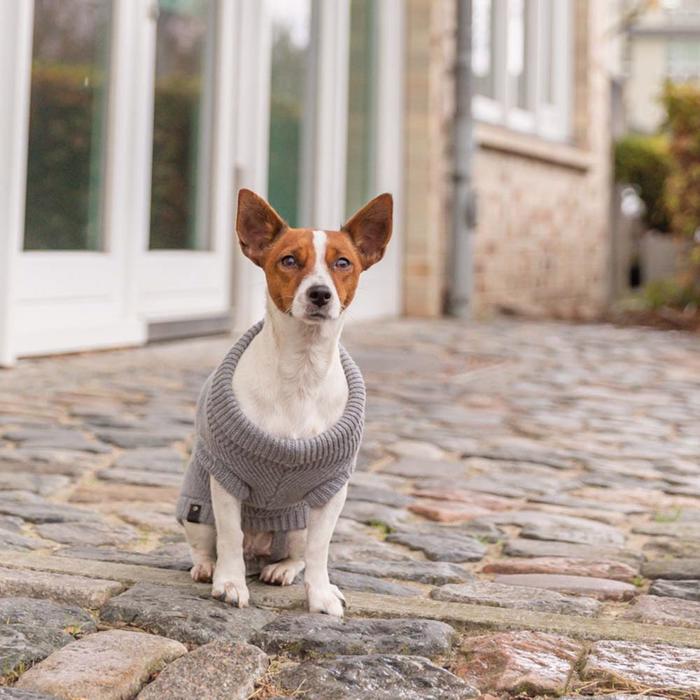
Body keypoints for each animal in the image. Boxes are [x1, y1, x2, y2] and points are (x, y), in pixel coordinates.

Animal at [178, 187, 392, 616]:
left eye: (343, 263)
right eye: (289, 260)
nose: (319, 293)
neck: (302, 370)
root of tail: (258, 551)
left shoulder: (331, 489)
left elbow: (320, 550)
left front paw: (321, 594)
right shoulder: (226, 478)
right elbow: (230, 535)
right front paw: (229, 583)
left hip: (294, 525)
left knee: (295, 554)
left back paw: (281, 570)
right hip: (198, 512)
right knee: (210, 545)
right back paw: (209, 568)